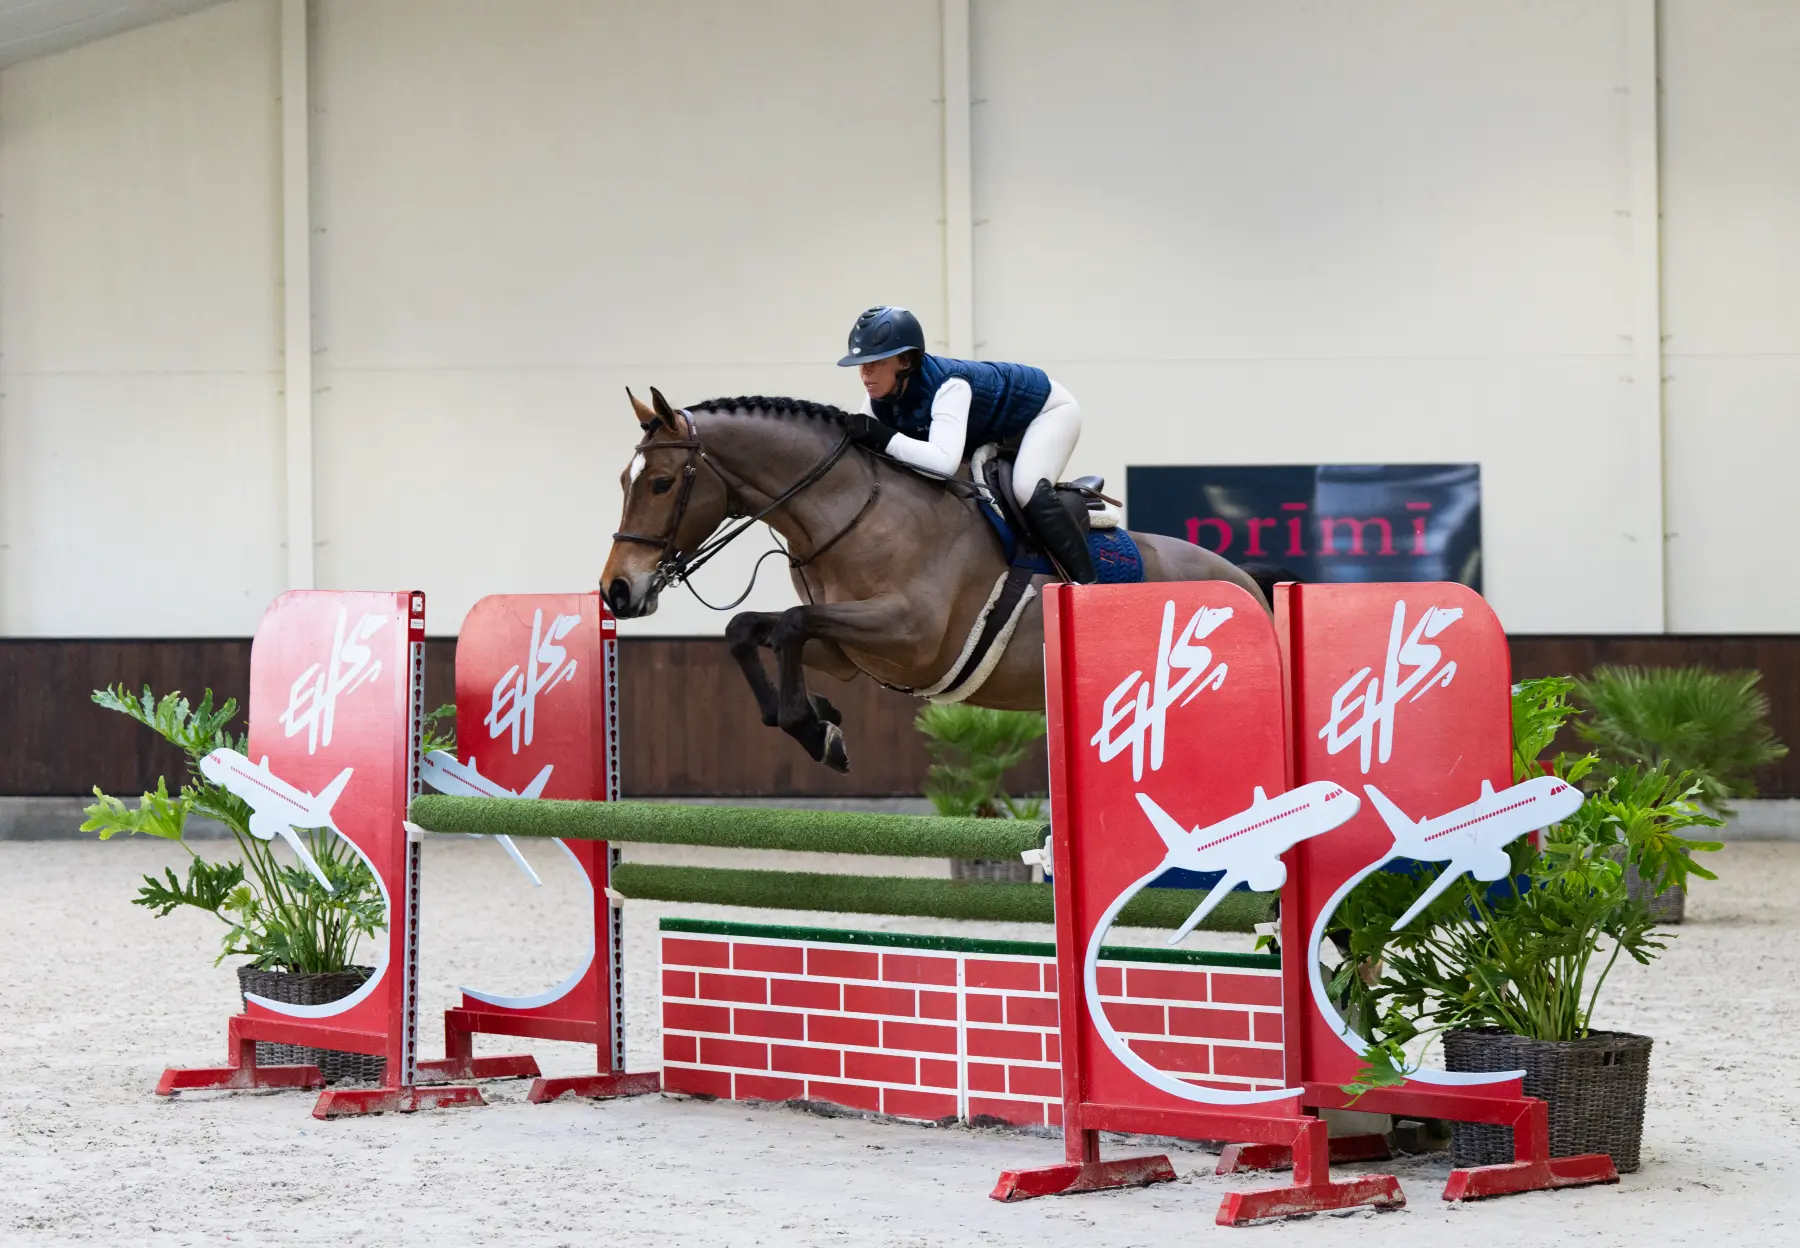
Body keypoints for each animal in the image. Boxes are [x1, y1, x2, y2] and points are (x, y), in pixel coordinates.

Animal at [601, 388, 1267, 772]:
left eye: (661, 482)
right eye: (623, 480)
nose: (617, 591)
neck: (853, 513)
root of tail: (1246, 582)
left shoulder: (911, 637)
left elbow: (789, 623)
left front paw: (811, 726)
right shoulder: (848, 652)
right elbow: (749, 629)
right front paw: (817, 720)